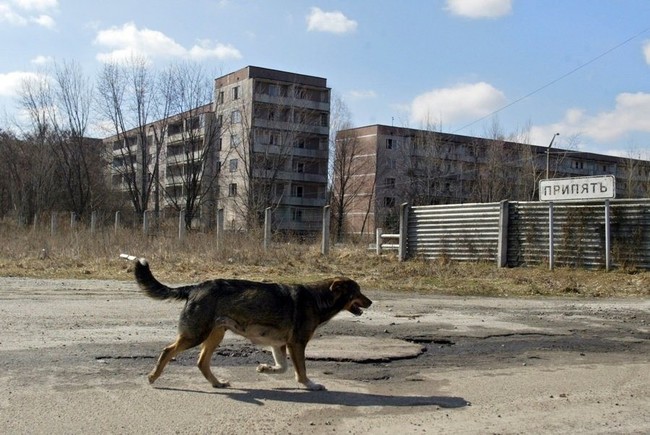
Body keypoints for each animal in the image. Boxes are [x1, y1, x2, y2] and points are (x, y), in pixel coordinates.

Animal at [129, 256, 372, 391]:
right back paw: (153, 376)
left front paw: (266, 369)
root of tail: (196, 287)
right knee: (167, 351)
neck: (318, 298)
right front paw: (310, 385)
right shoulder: (297, 344)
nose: (371, 302)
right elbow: (300, 370)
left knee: (201, 362)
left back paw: (217, 383)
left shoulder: (278, 344)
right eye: (358, 291)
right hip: (196, 335)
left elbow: (282, 367)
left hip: (216, 335)